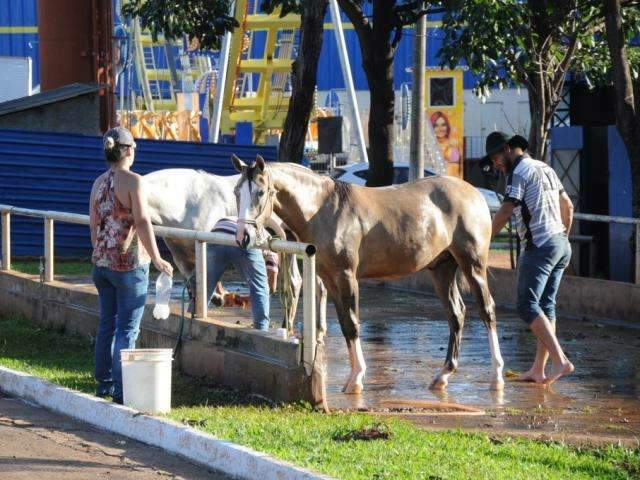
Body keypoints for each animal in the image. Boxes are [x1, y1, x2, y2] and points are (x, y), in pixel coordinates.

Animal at [230, 157, 504, 394]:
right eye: (236, 192)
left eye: (260, 192)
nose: (243, 237)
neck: (322, 209)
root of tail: (474, 193)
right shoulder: (330, 279)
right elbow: (344, 324)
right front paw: (353, 376)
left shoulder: (346, 276)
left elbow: (352, 323)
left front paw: (356, 379)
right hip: (442, 269)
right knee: (456, 314)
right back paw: (443, 375)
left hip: (473, 265)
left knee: (487, 310)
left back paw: (497, 376)